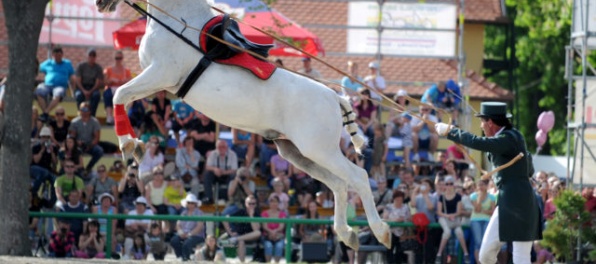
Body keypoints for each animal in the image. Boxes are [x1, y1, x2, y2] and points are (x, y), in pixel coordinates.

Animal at [98, 0, 392, 250]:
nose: (102, 5)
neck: (179, 22)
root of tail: (334, 97)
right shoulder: (159, 83)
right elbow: (123, 97)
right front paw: (134, 144)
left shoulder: (160, 74)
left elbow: (119, 94)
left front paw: (129, 145)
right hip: (296, 153)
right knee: (339, 185)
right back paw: (347, 234)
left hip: (320, 150)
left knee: (358, 177)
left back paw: (381, 232)